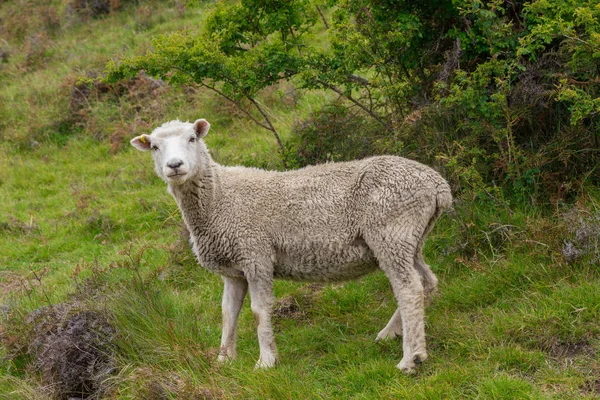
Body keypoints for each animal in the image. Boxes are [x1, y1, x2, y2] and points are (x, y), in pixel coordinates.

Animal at [130, 118, 450, 372]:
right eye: (155, 147)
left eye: (192, 139)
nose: (174, 166)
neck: (219, 198)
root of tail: (438, 185)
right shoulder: (233, 270)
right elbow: (227, 313)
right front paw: (224, 360)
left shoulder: (255, 255)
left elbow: (259, 311)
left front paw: (266, 361)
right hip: (410, 239)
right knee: (426, 281)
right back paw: (393, 334)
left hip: (390, 231)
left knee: (409, 289)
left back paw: (411, 358)